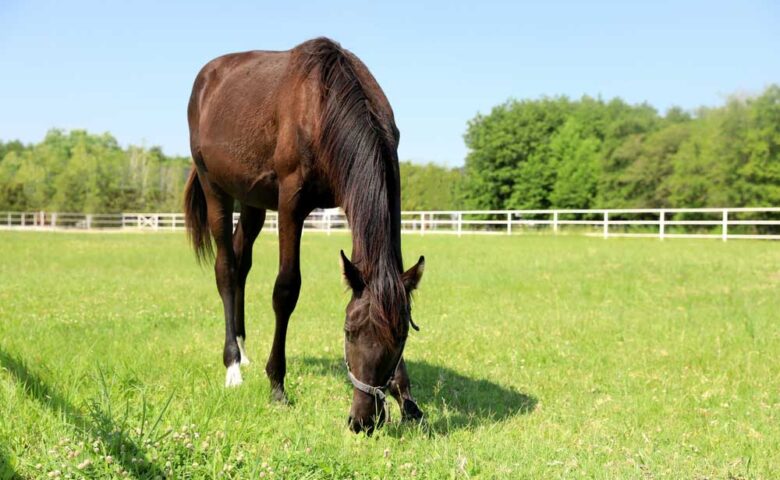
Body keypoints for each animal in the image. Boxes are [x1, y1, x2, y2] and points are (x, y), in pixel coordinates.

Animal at [184, 37, 426, 434]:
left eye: (402, 336)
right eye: (348, 331)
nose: (363, 421)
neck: (323, 105)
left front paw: (407, 399)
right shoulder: (291, 202)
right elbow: (286, 290)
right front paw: (277, 385)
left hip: (252, 201)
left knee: (242, 260)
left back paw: (243, 350)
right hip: (215, 188)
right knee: (227, 269)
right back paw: (233, 366)